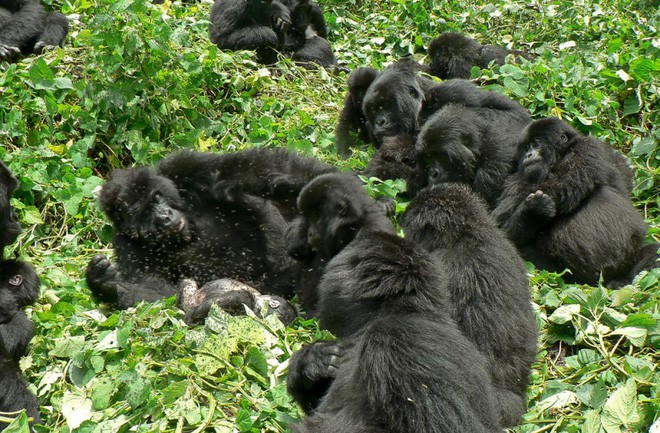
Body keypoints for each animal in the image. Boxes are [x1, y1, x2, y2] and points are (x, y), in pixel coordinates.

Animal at [492, 118, 656, 286]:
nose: (528, 155)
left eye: (536, 144)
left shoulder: (587, 149)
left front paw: (533, 209)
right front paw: (532, 212)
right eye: (525, 148)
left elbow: (566, 183)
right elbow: (503, 227)